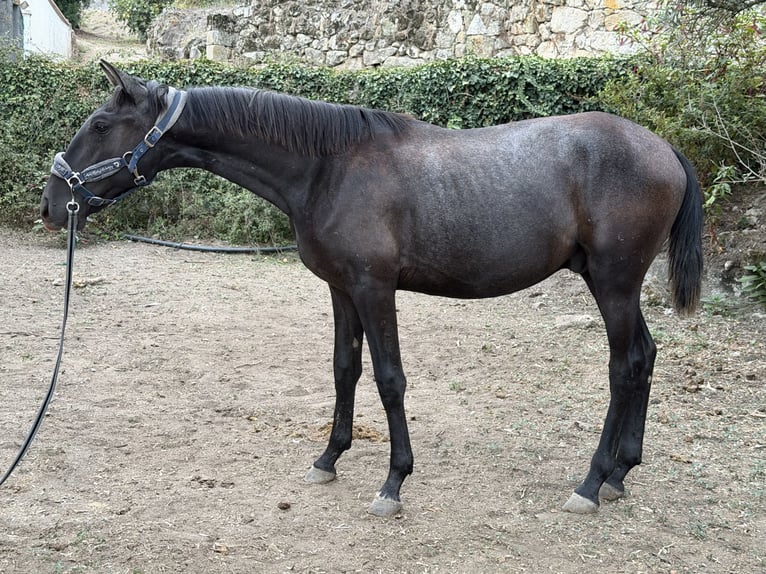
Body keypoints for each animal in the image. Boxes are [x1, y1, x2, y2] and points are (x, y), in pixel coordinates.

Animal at [40, 61, 703, 517]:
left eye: (100, 124)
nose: (50, 203)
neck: (328, 166)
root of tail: (665, 148)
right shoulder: (341, 290)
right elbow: (345, 370)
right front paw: (329, 459)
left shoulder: (374, 288)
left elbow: (389, 379)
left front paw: (393, 482)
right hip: (609, 282)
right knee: (645, 356)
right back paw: (620, 474)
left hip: (614, 283)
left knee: (623, 367)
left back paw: (591, 483)